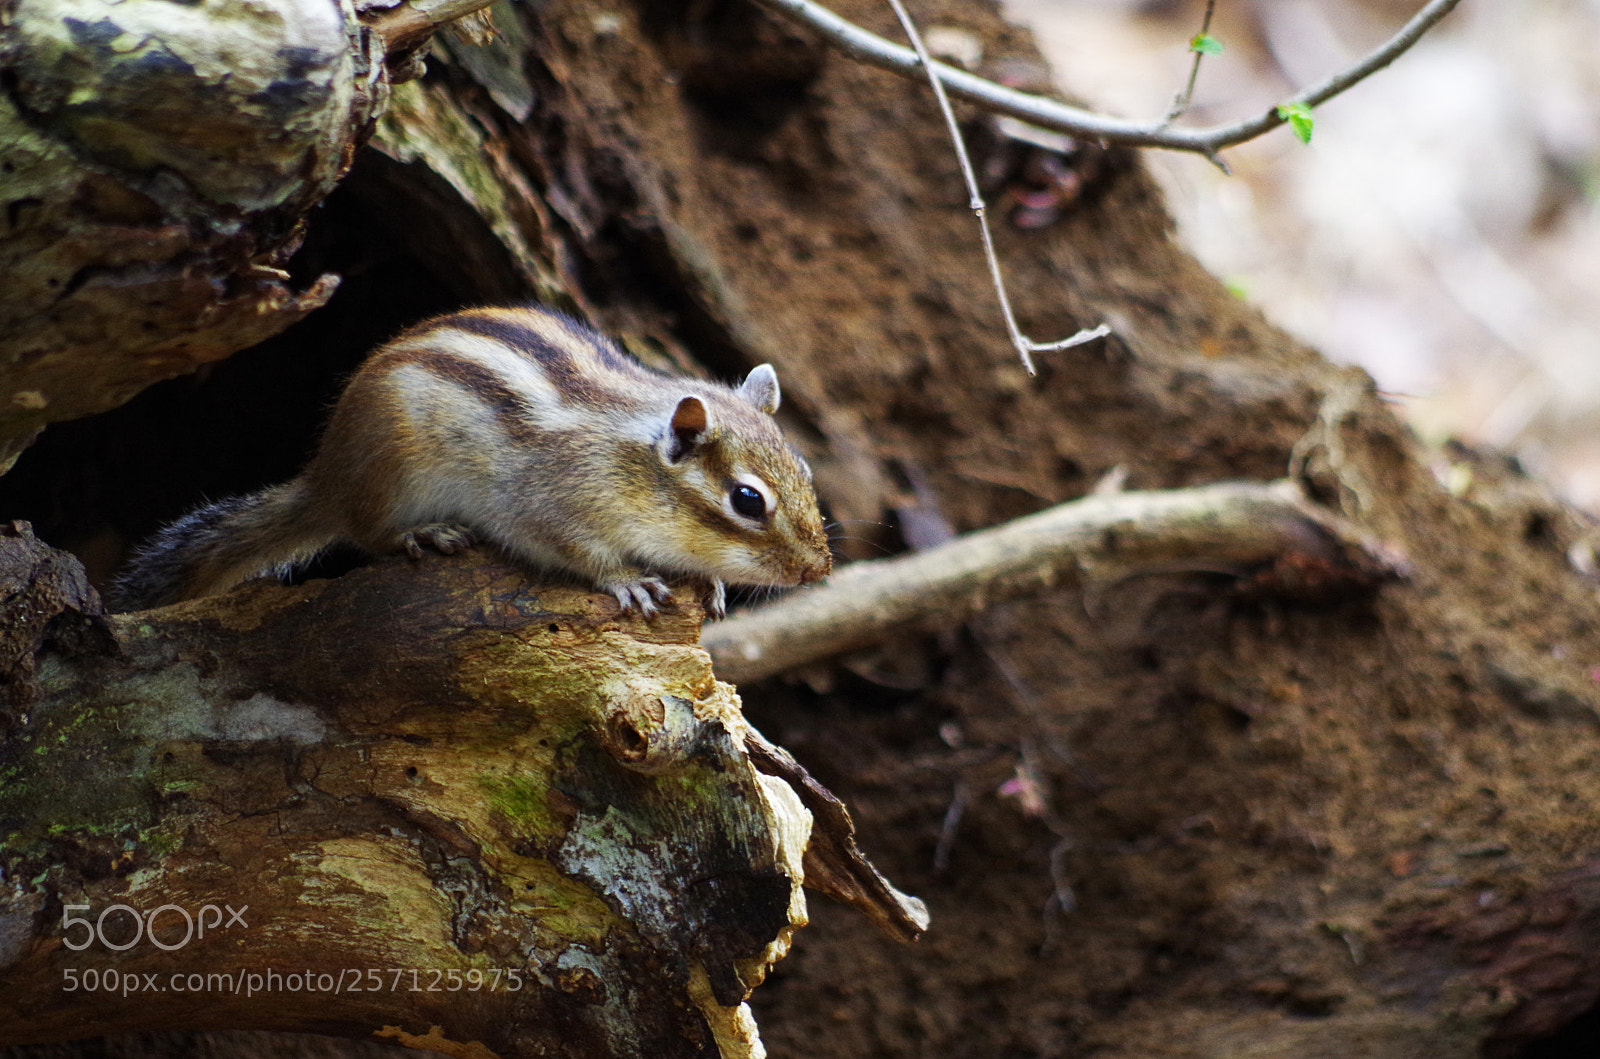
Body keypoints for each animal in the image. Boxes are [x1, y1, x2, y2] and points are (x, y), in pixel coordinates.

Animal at [110, 306, 833, 617]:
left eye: (806, 472)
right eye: (747, 500)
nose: (819, 571)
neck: (628, 456)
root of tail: (325, 476)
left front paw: (709, 581)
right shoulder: (548, 502)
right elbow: (574, 549)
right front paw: (625, 580)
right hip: (395, 473)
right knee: (366, 532)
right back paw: (423, 533)